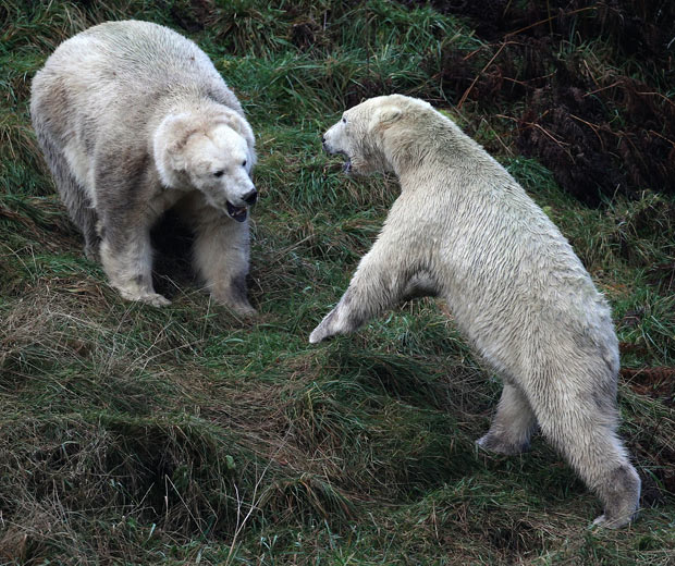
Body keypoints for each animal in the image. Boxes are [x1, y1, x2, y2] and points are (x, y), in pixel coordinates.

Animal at [31, 21, 258, 316]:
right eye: (217, 172)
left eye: (243, 161)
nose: (248, 195)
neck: (185, 100)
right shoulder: (131, 168)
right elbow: (125, 229)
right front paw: (146, 296)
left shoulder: (207, 195)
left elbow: (220, 231)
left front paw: (238, 304)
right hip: (57, 125)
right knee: (77, 194)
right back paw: (91, 246)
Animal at [308, 95, 640, 532]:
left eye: (345, 118)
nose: (323, 138)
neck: (436, 158)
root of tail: (609, 343)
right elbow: (421, 277)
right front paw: (414, 291)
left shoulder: (428, 207)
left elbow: (382, 267)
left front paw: (325, 328)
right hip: (529, 351)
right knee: (518, 396)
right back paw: (492, 443)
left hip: (559, 354)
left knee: (574, 422)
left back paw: (614, 511)